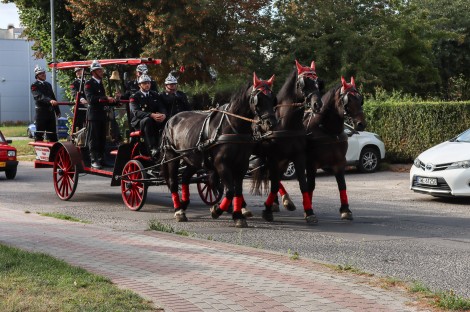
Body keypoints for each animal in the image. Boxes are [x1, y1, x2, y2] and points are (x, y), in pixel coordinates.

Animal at [162, 74, 280, 228]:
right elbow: (229, 191)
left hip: (193, 159)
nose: (271, 123)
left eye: (273, 99)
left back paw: (184, 204)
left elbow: (237, 190)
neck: (233, 128)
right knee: (173, 182)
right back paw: (178, 210)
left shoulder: (241, 165)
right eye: (258, 100)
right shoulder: (221, 164)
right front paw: (217, 210)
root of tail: (171, 119)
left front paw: (237, 215)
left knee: (186, 177)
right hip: (172, 155)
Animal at [252, 59, 324, 223]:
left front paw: (309, 212)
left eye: (317, 82)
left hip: (282, 161)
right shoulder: (273, 156)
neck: (286, 124)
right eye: (303, 83)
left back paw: (280, 202)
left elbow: (303, 184)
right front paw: (267, 210)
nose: (317, 104)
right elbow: (273, 183)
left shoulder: (298, 156)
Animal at [302, 76, 370, 219]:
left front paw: (345, 209)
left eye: (360, 99)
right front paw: (308, 211)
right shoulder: (311, 164)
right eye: (348, 100)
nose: (361, 124)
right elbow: (310, 186)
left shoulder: (339, 162)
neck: (327, 131)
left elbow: (342, 184)